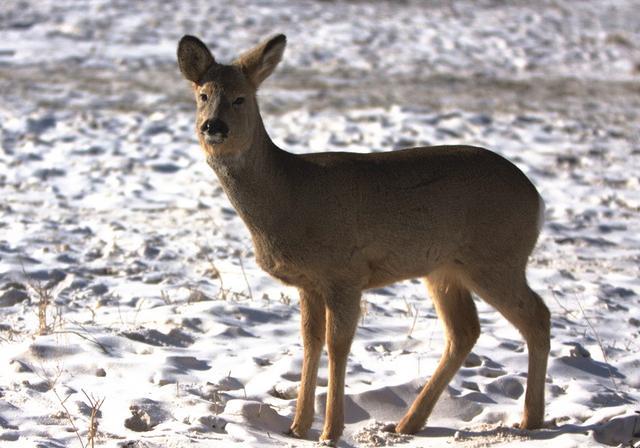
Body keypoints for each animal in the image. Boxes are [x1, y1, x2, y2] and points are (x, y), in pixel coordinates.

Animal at [176, 34, 552, 444]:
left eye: (241, 98)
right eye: (202, 94)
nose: (213, 126)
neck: (289, 193)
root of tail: (537, 199)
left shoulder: (345, 271)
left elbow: (338, 345)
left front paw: (330, 430)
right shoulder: (308, 283)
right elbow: (310, 340)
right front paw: (297, 426)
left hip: (496, 257)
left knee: (537, 315)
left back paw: (530, 420)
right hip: (444, 269)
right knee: (465, 330)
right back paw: (409, 422)